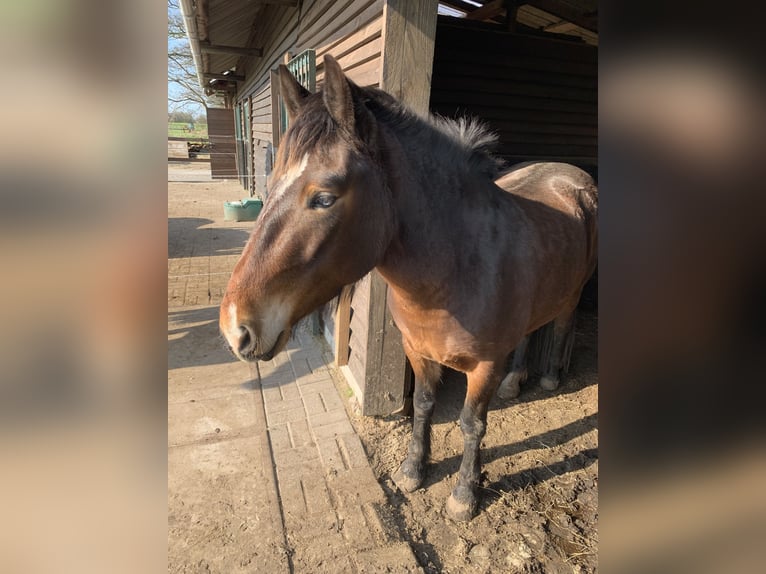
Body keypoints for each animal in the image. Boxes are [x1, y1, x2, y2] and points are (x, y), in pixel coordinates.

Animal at [219, 54, 598, 521]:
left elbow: (472, 423)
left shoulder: (485, 366)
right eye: (270, 185)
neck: (457, 270)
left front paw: (464, 494)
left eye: (324, 198)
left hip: (573, 293)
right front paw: (414, 469)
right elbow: (422, 405)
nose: (235, 327)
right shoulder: (417, 350)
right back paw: (515, 382)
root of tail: (573, 175)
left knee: (562, 323)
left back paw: (549, 377)